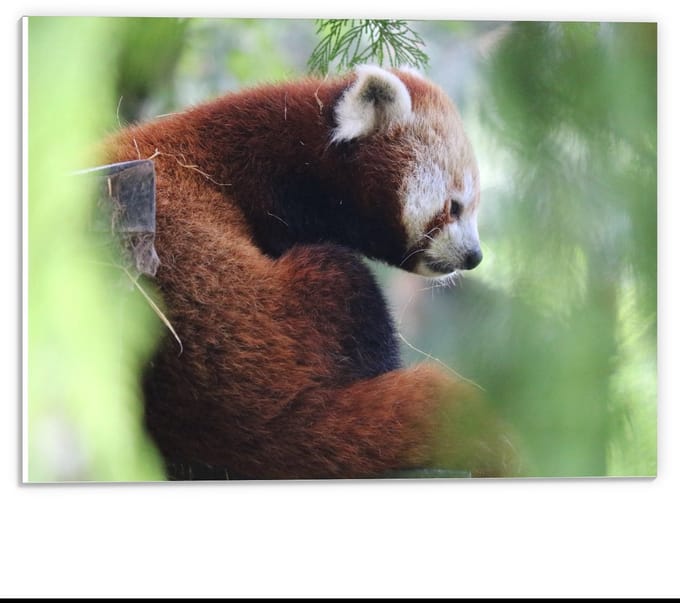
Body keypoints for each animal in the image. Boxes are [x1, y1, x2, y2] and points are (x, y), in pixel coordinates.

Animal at [106, 65, 517, 479]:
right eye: (454, 207)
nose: (474, 257)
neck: (301, 149)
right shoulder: (270, 188)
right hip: (267, 319)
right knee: (346, 280)